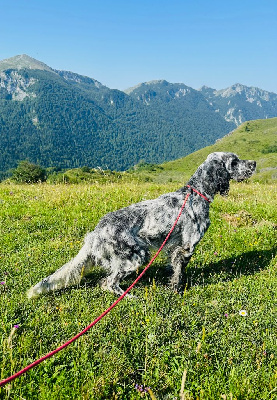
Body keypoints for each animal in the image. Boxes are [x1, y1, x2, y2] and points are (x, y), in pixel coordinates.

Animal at [27, 152, 256, 298]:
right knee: (108, 283)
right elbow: (179, 273)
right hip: (137, 255)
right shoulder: (187, 247)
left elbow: (173, 268)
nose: (253, 163)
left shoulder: (174, 248)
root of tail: (96, 232)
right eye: (235, 161)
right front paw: (177, 291)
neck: (195, 194)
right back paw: (129, 297)